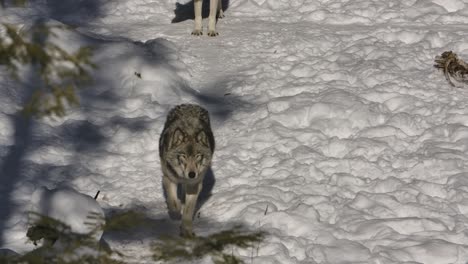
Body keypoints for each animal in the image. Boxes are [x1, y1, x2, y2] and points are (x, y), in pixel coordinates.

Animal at [158, 103, 215, 237]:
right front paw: (176, 209)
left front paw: (186, 230)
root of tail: (190, 105)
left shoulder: (194, 185)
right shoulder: (168, 178)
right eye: (183, 156)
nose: (192, 174)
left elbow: (189, 210)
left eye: (198, 156)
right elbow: (173, 202)